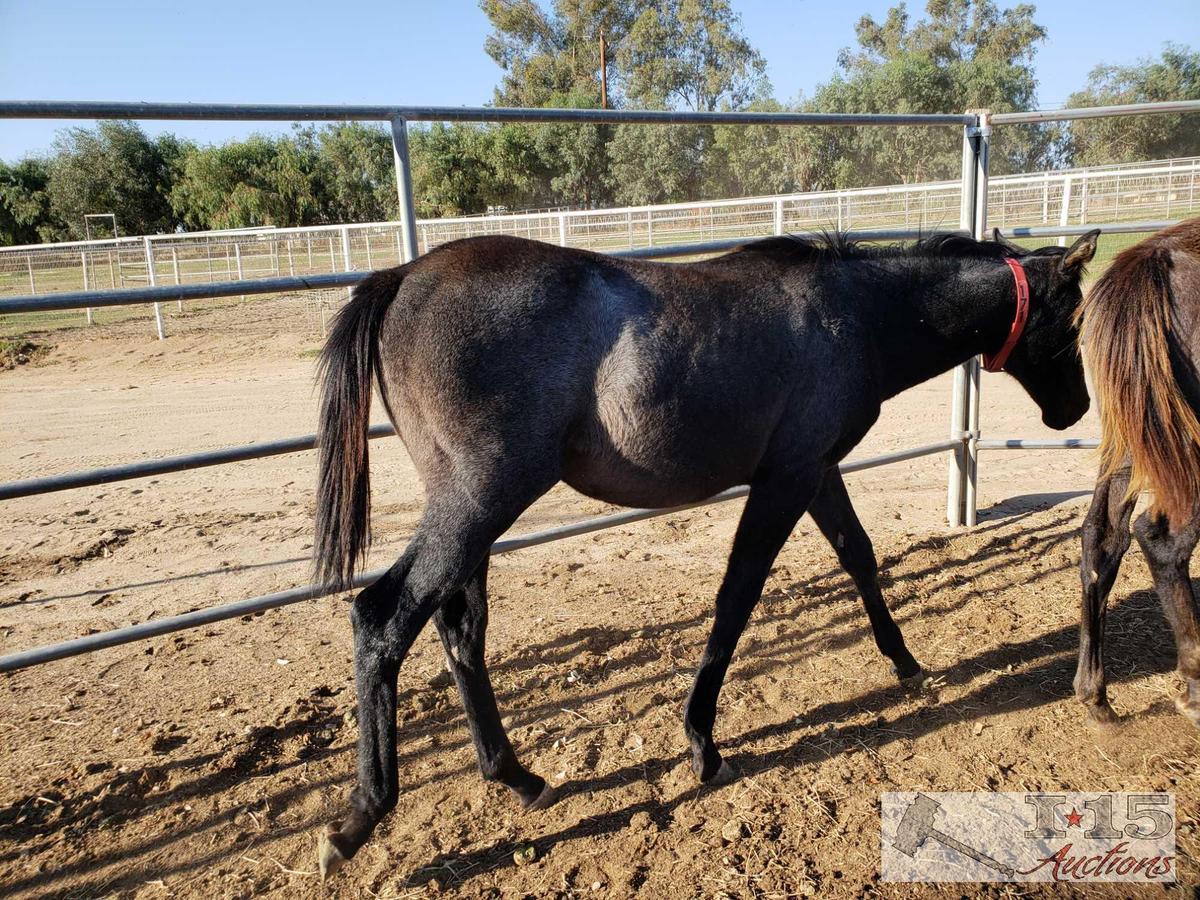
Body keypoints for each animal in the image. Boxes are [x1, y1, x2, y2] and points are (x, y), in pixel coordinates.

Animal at [312, 229, 1099, 878]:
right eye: (1073, 319)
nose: (1078, 411)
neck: (857, 316)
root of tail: (403, 276)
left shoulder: (815, 471)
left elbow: (859, 554)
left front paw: (904, 660)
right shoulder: (784, 481)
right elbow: (738, 595)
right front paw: (702, 742)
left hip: (475, 511)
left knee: (458, 629)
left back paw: (519, 778)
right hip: (480, 500)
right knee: (383, 618)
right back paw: (357, 822)